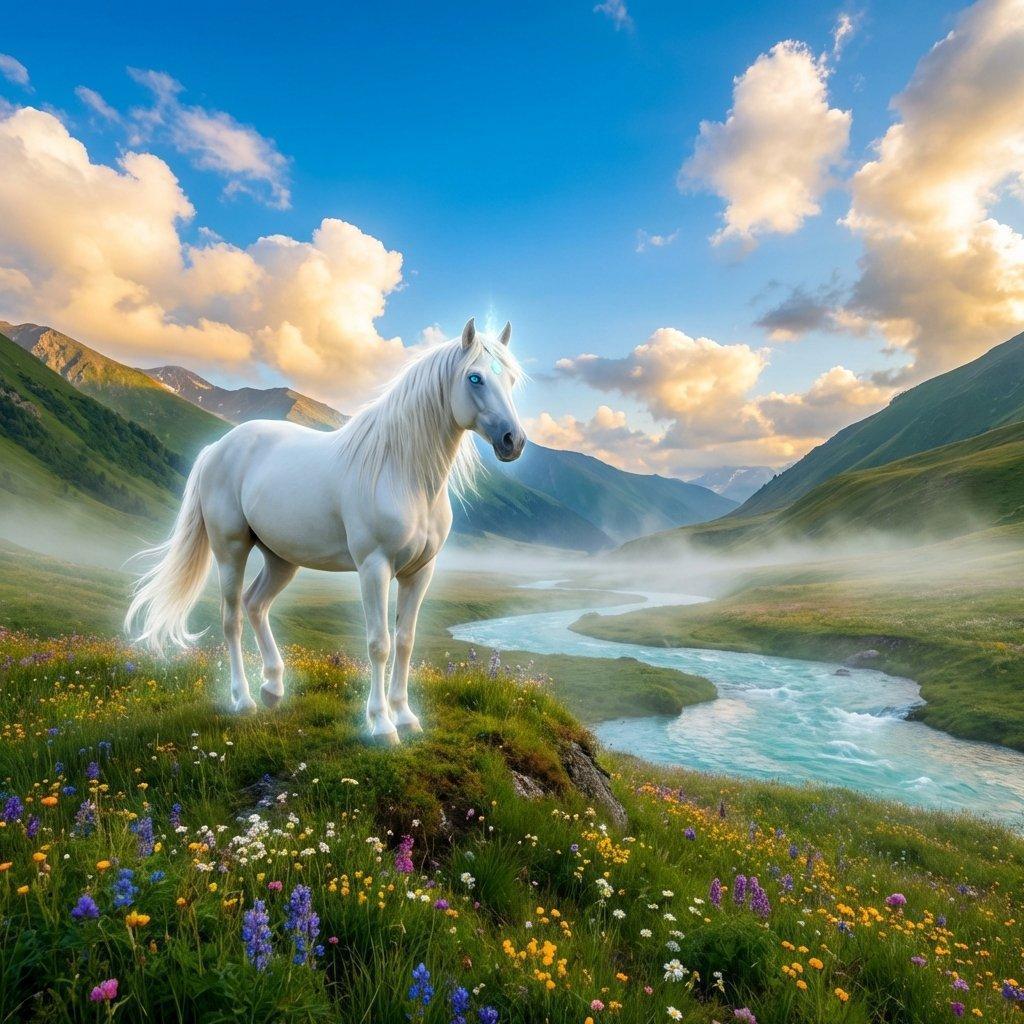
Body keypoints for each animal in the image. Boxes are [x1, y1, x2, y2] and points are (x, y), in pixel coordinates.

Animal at [125, 318, 526, 744]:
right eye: (474, 377)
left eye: (512, 379)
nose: (513, 441)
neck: (402, 473)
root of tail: (216, 448)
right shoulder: (374, 568)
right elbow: (379, 644)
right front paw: (381, 725)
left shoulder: (419, 572)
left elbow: (405, 642)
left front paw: (406, 717)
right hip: (230, 550)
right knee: (231, 618)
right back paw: (244, 700)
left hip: (281, 559)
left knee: (256, 605)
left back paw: (273, 688)